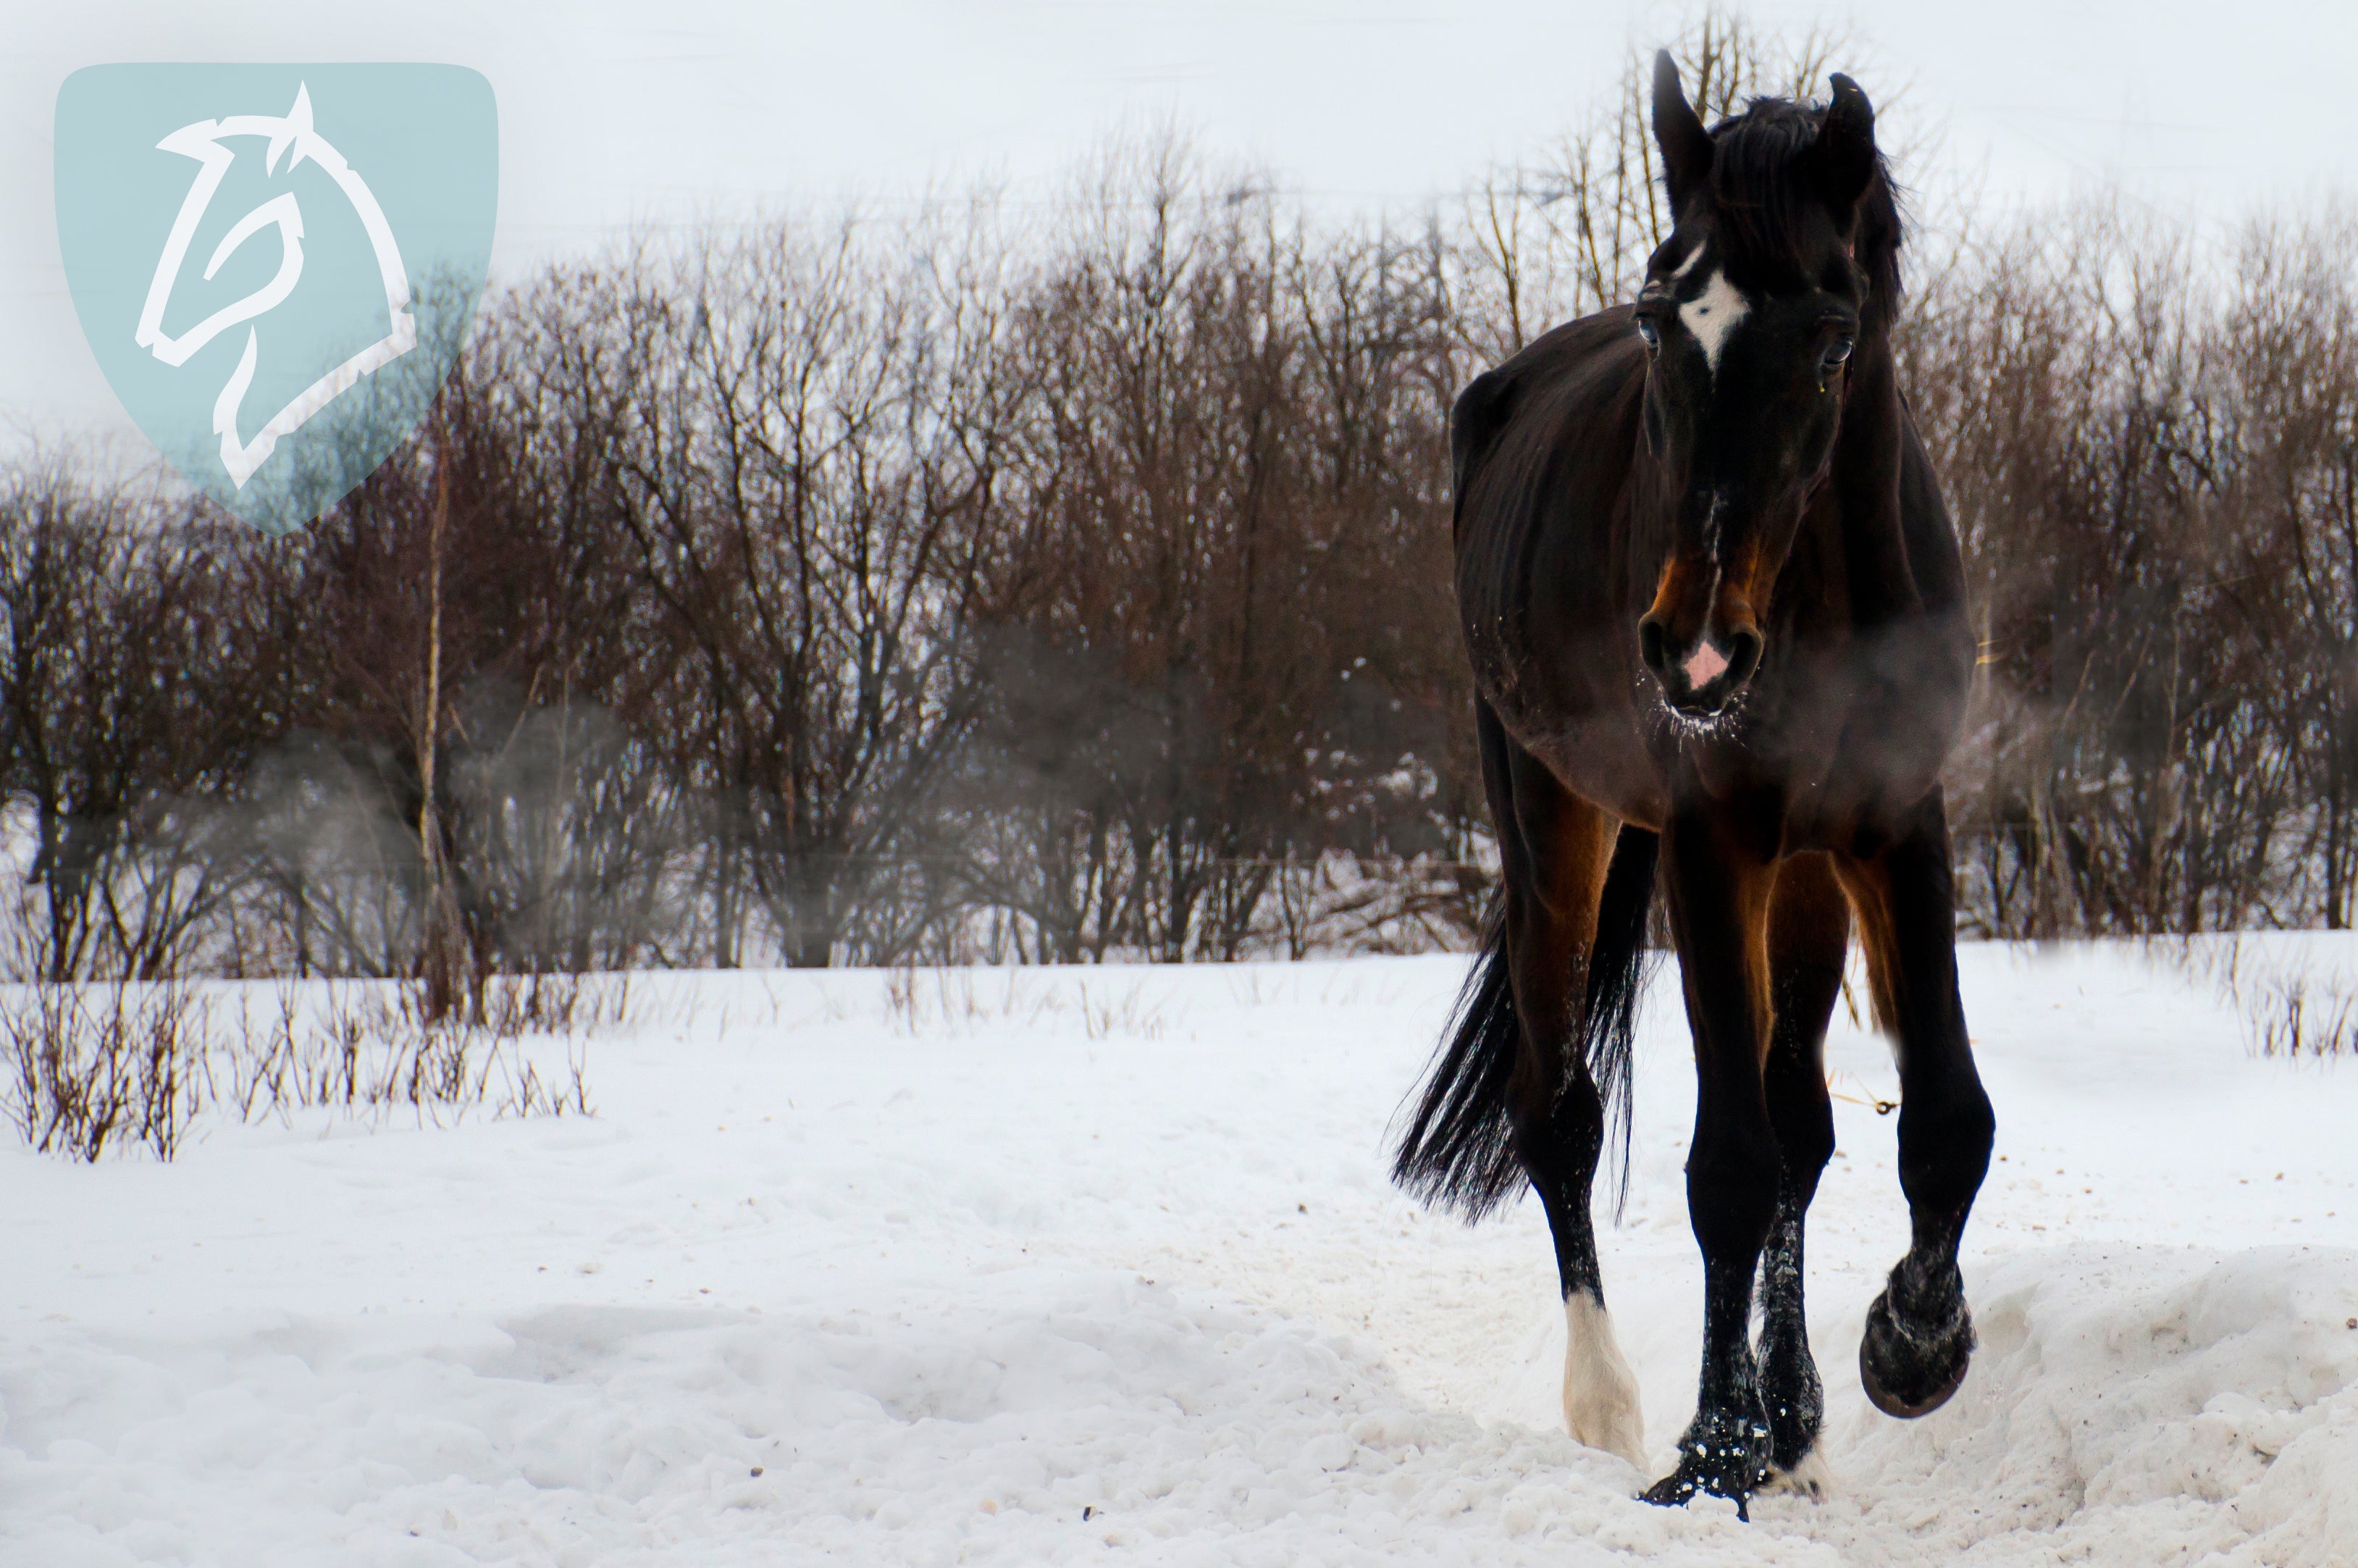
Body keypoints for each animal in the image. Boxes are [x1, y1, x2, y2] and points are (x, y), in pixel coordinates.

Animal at [1386, 55, 2000, 1509]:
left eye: (1832, 338)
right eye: (1664, 323)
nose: (1696, 649)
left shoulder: (1897, 827)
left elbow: (1938, 1120)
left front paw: (1906, 1351)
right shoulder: (1713, 841)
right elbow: (1727, 1163)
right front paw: (1712, 1454)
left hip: (1804, 874)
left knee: (1803, 1132)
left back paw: (1798, 1425)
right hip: (1551, 815)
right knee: (1558, 1113)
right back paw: (1611, 1408)